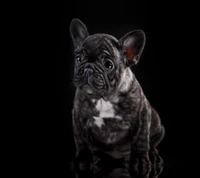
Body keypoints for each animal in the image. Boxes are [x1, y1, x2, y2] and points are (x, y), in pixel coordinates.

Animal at [69, 18, 165, 177]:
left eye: (108, 64)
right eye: (78, 58)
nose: (88, 68)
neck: (104, 98)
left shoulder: (142, 114)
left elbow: (140, 139)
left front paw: (140, 161)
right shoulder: (79, 117)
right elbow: (81, 139)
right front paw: (83, 160)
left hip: (158, 127)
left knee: (151, 145)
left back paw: (152, 156)